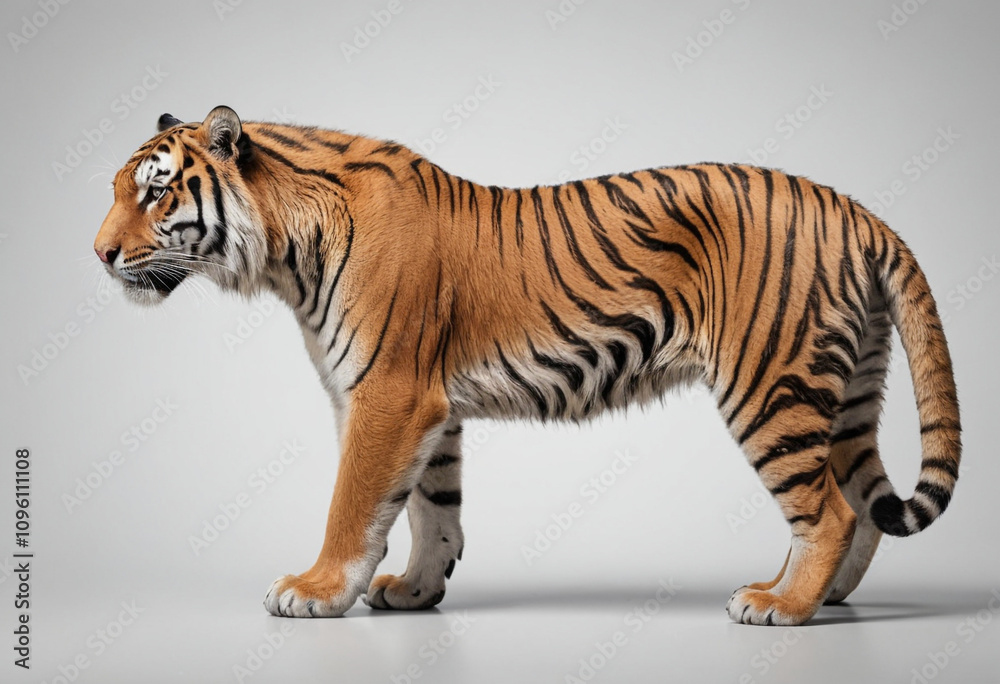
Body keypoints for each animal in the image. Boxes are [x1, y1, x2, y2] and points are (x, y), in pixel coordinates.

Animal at [94, 105, 961, 625]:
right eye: (117, 189)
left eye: (155, 193)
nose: (98, 254)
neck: (283, 251)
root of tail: (856, 208)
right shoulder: (429, 407)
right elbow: (431, 508)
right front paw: (416, 590)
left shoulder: (386, 395)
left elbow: (354, 501)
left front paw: (316, 589)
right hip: (844, 390)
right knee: (861, 503)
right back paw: (822, 595)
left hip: (771, 384)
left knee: (831, 510)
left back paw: (780, 605)